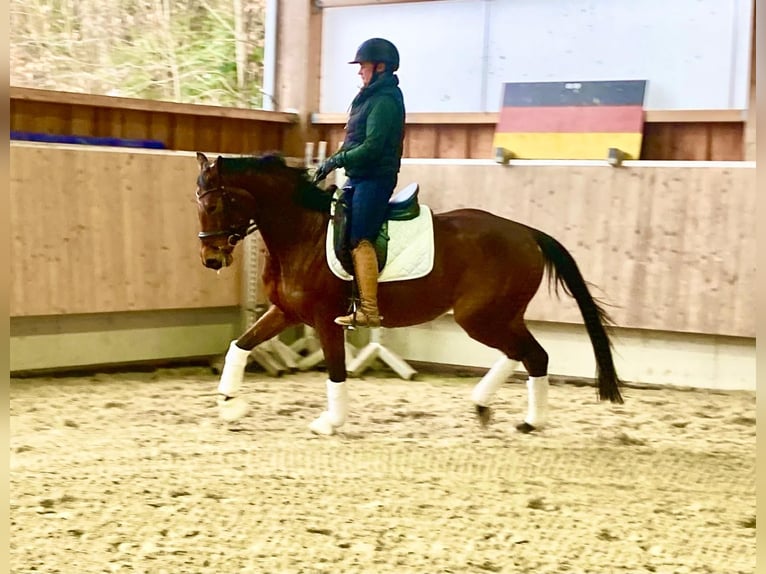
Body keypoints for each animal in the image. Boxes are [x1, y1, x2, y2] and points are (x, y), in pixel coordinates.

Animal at [194, 151, 623, 435]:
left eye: (214, 205)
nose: (211, 259)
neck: (303, 233)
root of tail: (526, 233)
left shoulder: (326, 319)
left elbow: (336, 371)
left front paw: (331, 421)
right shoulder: (285, 312)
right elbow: (240, 345)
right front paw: (229, 404)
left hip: (481, 317)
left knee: (532, 354)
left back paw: (529, 420)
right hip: (501, 315)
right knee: (525, 354)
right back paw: (490, 407)